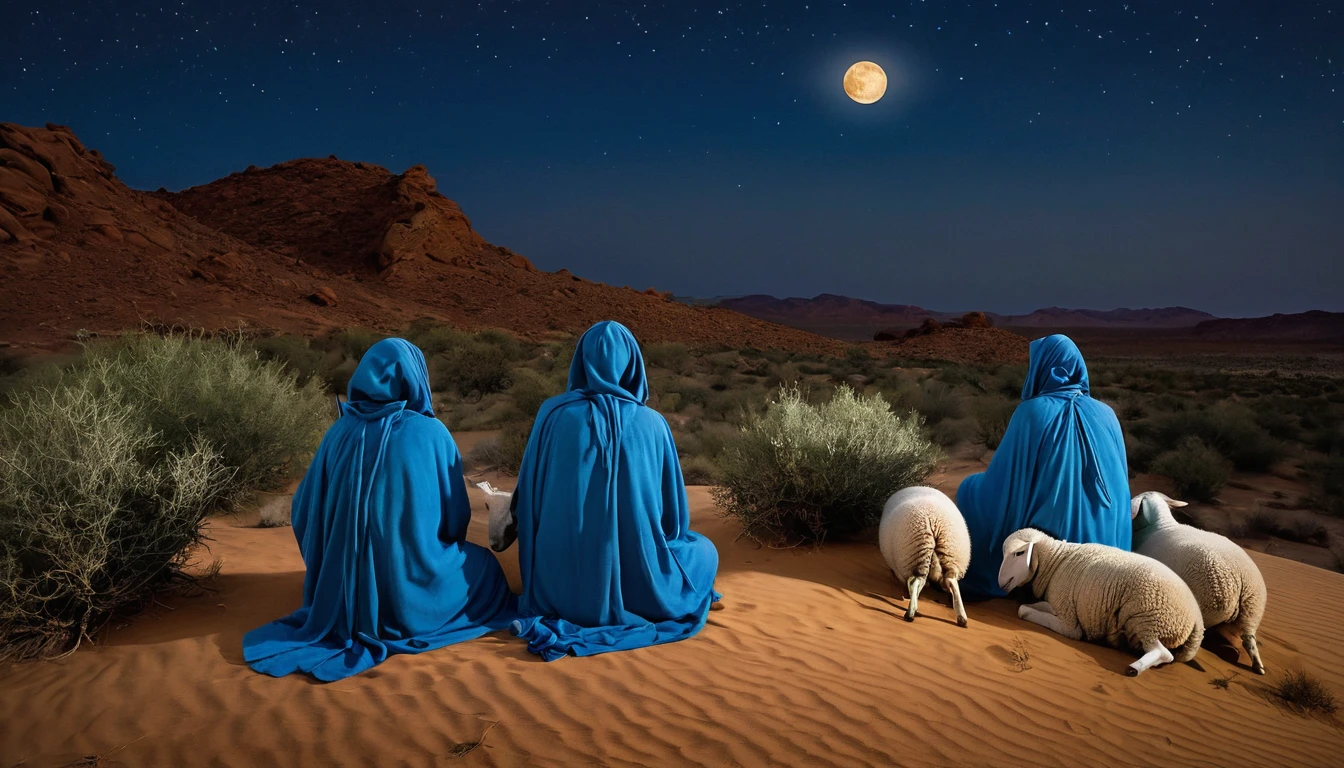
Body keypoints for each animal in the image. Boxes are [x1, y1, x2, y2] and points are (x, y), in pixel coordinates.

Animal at [876, 489, 973, 626]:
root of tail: (935, 523)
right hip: (948, 554)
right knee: (951, 581)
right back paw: (962, 617)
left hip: (918, 553)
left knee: (916, 581)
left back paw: (910, 613)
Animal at [999, 529, 1209, 677]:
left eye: (1019, 553)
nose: (1000, 582)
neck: (1056, 561)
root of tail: (1198, 621)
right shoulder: (1062, 605)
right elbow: (1036, 606)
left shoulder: (1069, 623)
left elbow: (1023, 611)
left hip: (1148, 617)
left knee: (1163, 653)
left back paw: (1134, 668)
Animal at [1128, 494, 1263, 675]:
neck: (1160, 526)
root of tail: (1241, 580)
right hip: (1252, 609)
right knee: (1249, 639)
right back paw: (1255, 665)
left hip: (1209, 606)